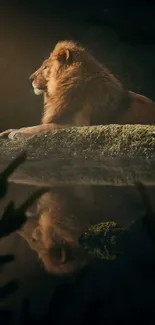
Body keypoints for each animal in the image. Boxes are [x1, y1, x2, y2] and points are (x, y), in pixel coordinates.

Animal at [1, 39, 155, 274]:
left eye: (45, 67)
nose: (29, 79)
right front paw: (6, 131)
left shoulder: (74, 126)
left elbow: (39, 129)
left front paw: (17, 133)